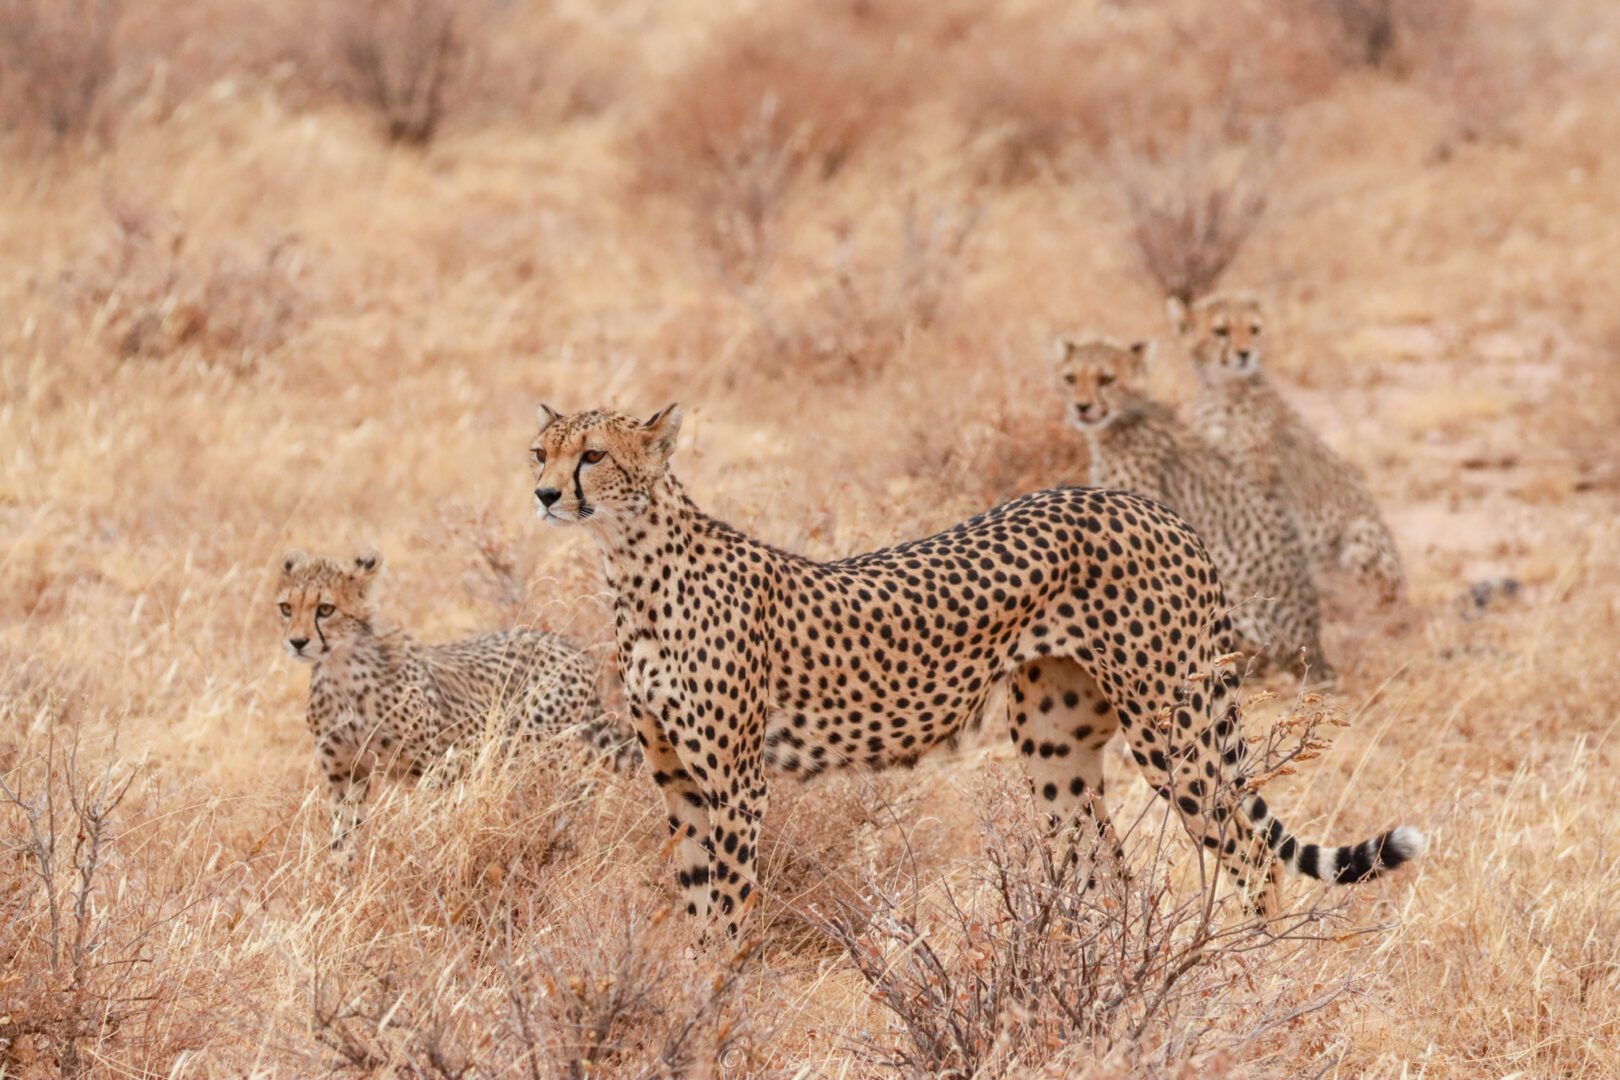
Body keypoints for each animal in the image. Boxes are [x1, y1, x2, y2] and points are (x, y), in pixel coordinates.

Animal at [275, 550, 635, 841]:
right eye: (286, 608)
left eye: (325, 609)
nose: (297, 642)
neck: (341, 668)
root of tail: (566, 645)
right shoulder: (344, 774)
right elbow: (344, 838)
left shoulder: (438, 768)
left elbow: (431, 824)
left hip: (536, 753)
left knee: (571, 788)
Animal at [521, 404, 1419, 939]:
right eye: (540, 452)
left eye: (592, 455)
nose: (543, 495)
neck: (633, 567)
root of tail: (1151, 507)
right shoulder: (677, 781)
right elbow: (695, 897)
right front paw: (689, 985)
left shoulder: (735, 782)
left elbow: (729, 905)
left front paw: (714, 1000)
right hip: (1056, 746)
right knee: (1108, 872)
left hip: (1174, 730)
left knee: (1248, 849)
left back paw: (1244, 971)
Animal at [1166, 291, 1406, 605]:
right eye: (1221, 331)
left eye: (1254, 329)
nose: (1245, 354)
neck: (1223, 391)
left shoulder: (1258, 484)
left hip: (1361, 534)